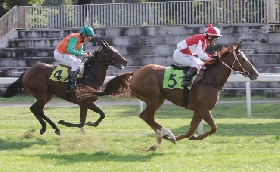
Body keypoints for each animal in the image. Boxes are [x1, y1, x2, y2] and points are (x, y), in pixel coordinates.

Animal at [77, 42, 260, 149]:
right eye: (244, 59)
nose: (255, 74)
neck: (209, 78)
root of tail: (135, 72)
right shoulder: (203, 108)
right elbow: (213, 127)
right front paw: (178, 137)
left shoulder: (199, 110)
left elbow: (192, 130)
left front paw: (191, 137)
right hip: (153, 98)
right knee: (148, 116)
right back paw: (165, 134)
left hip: (158, 98)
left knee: (145, 116)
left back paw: (161, 137)